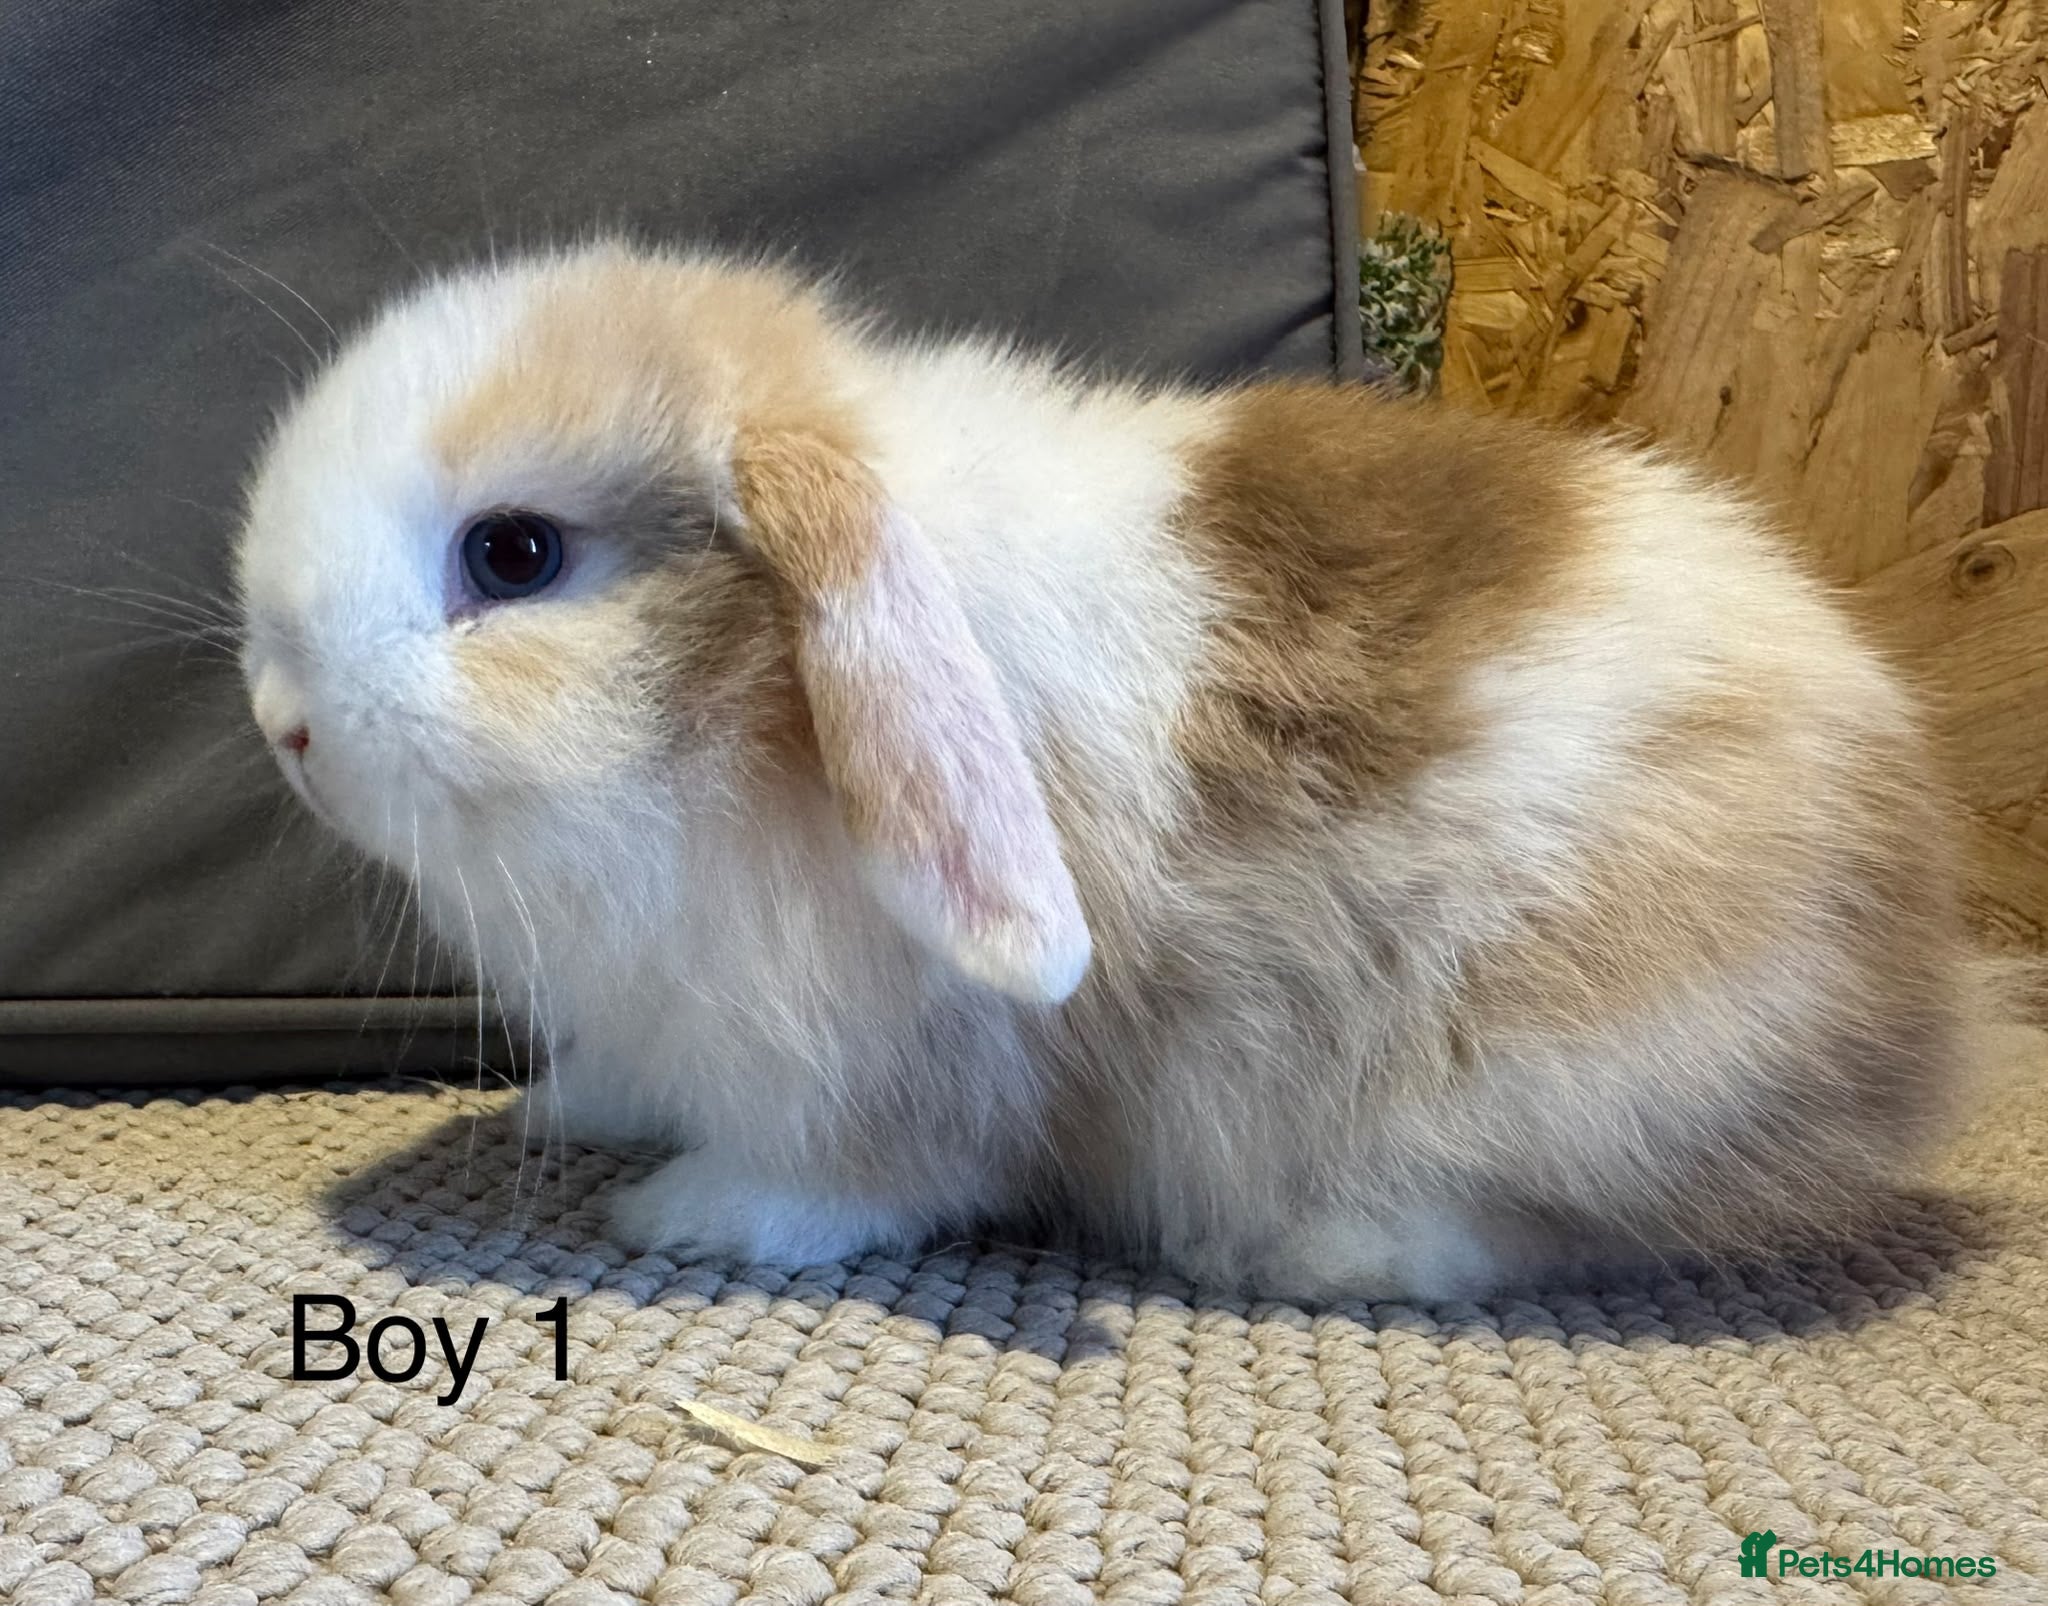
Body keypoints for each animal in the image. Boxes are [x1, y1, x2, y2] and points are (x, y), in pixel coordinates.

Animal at [235, 239, 1977, 1301]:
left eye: (514, 554)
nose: (284, 723)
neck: (745, 716)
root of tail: (1922, 984)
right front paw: (569, 1106)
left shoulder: (901, 1052)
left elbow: (864, 1173)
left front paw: (689, 1211)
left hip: (1560, 1065)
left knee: (1541, 1219)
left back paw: (1321, 1250)